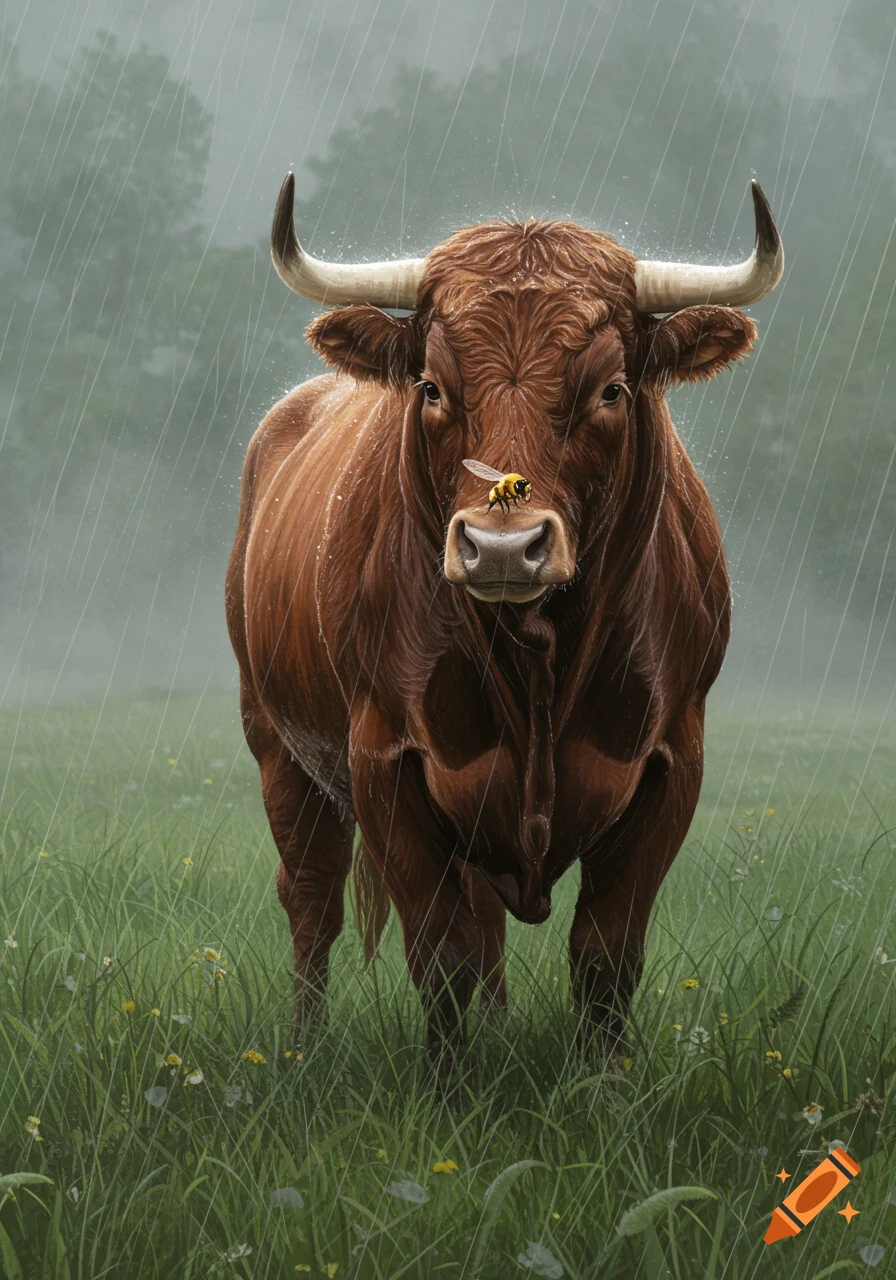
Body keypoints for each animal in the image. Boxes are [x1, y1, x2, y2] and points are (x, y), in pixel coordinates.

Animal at [226, 174, 783, 1065]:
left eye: (610, 390)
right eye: (432, 388)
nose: (500, 548)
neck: (541, 659)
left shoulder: (672, 762)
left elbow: (605, 958)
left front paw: (602, 1086)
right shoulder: (384, 761)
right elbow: (441, 953)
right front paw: (451, 1085)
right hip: (277, 743)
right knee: (312, 899)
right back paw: (304, 1050)